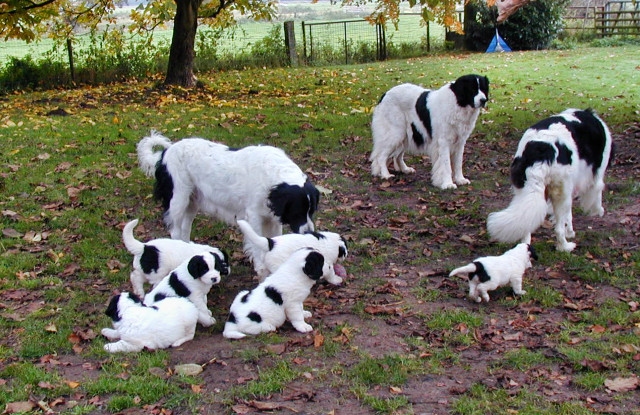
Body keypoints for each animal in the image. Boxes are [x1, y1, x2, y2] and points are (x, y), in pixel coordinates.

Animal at [136, 132, 320, 248]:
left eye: (311, 212)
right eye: (297, 213)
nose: (310, 233)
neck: (273, 176)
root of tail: (165, 152)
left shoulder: (272, 217)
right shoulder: (254, 215)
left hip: (191, 202)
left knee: (185, 228)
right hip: (178, 199)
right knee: (175, 230)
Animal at [487, 109, 613, 252]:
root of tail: (541, 151)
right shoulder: (594, 176)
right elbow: (596, 194)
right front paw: (598, 212)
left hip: (525, 190)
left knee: (527, 226)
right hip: (561, 192)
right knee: (558, 229)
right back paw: (566, 247)